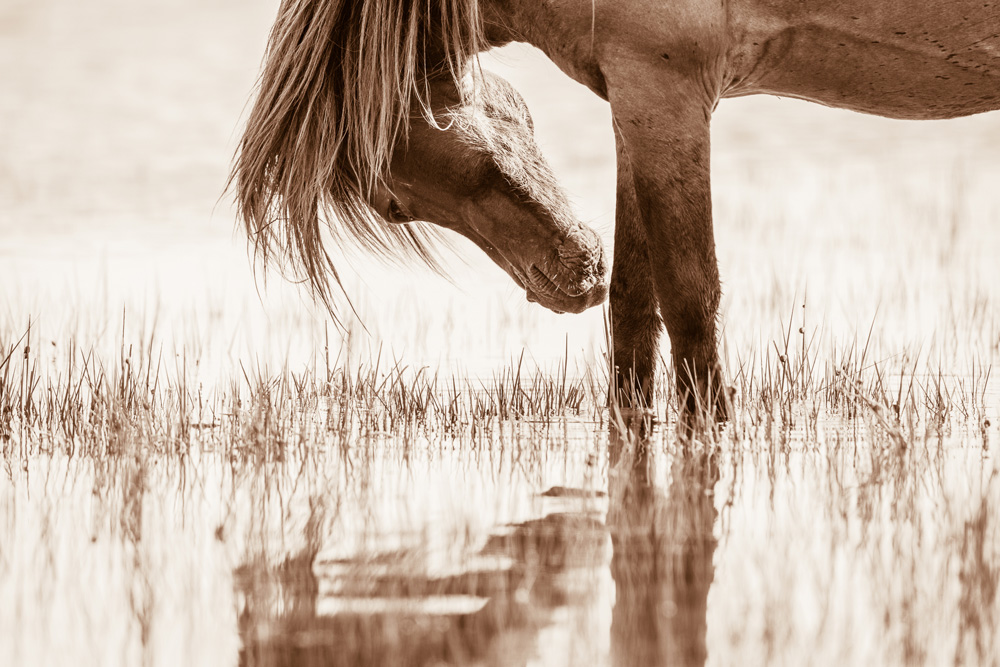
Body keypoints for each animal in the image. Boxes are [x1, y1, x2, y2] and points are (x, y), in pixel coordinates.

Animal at [230, 1, 996, 422]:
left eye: (392, 204)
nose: (568, 279)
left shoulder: (666, 92)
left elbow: (689, 298)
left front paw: (711, 427)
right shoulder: (633, 99)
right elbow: (633, 306)